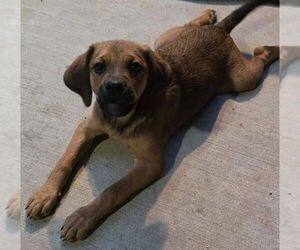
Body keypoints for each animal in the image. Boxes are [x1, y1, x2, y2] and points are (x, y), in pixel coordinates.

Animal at [22, 0, 278, 242]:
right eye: (98, 67)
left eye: (135, 67)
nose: (114, 87)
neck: (120, 117)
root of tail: (220, 31)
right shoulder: (86, 128)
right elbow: (63, 163)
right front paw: (44, 194)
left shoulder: (150, 163)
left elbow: (113, 189)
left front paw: (82, 218)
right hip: (162, 40)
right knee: (189, 25)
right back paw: (207, 15)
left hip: (243, 79)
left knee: (261, 55)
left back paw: (276, 49)